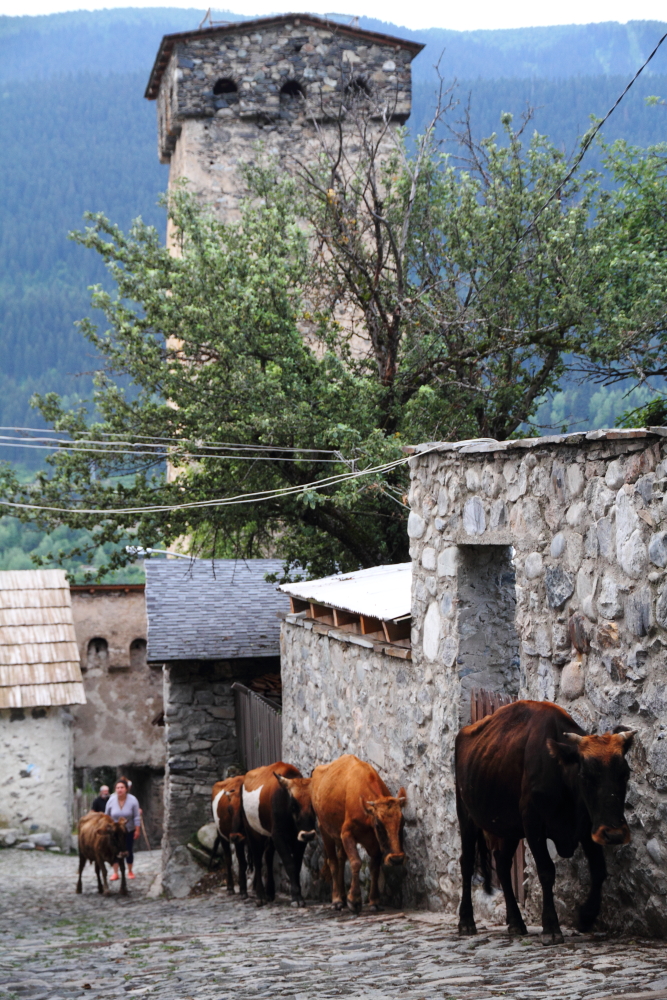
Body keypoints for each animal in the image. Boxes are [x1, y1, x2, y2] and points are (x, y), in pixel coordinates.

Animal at [211, 772, 248, 900]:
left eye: (243, 809)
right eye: (229, 809)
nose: (234, 836)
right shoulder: (239, 841)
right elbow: (242, 863)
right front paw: (243, 890)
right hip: (223, 836)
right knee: (228, 860)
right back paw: (230, 887)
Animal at [241, 760, 318, 912]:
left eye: (312, 804)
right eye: (293, 805)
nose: (309, 834)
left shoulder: (299, 839)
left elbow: (297, 865)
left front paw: (297, 894)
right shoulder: (278, 836)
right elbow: (290, 864)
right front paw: (296, 898)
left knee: (268, 856)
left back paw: (270, 892)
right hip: (253, 832)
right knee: (258, 860)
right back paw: (260, 896)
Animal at [310, 756, 408, 916]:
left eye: (403, 822)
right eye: (378, 825)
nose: (397, 858)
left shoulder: (375, 843)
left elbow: (374, 868)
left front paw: (374, 901)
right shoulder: (347, 833)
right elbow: (356, 862)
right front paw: (354, 900)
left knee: (341, 859)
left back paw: (343, 897)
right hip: (324, 830)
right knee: (333, 862)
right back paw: (337, 900)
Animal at [454, 700, 636, 940]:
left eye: (625, 774)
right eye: (586, 775)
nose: (614, 834)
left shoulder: (589, 826)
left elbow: (598, 870)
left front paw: (586, 916)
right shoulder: (533, 824)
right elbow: (546, 871)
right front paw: (551, 926)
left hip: (509, 828)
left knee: (502, 864)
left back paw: (515, 922)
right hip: (467, 816)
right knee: (466, 862)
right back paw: (466, 921)